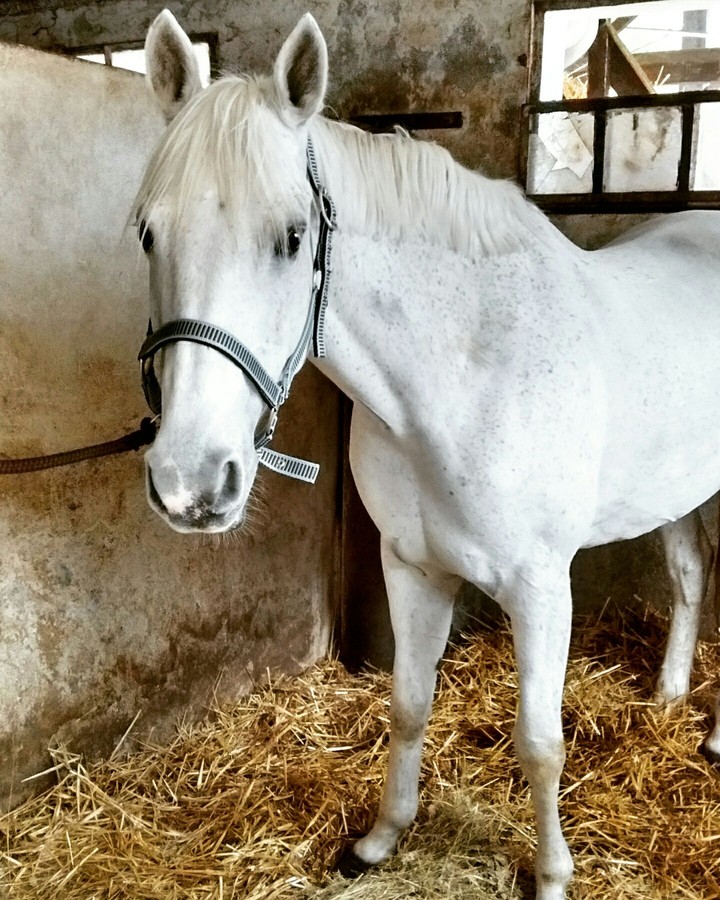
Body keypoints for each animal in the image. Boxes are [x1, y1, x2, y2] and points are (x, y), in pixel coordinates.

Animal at [134, 11, 720, 898]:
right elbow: (409, 705)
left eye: (293, 236)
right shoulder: (410, 564)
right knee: (688, 574)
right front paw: (381, 839)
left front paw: (551, 875)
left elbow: (540, 744)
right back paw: (669, 700)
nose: (189, 483)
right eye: (147, 233)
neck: (465, 373)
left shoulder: (541, 588)